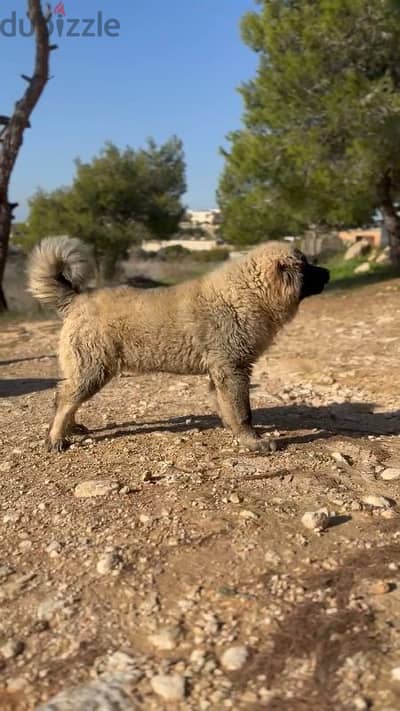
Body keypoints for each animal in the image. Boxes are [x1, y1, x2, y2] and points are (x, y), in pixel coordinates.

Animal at [28, 236, 328, 454]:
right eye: (305, 265)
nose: (328, 272)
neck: (246, 293)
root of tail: (76, 299)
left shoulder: (221, 371)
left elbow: (227, 407)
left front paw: (233, 431)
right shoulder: (233, 369)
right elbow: (243, 411)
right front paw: (253, 441)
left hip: (87, 369)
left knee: (65, 395)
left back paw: (70, 428)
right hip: (93, 367)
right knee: (65, 398)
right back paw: (56, 438)